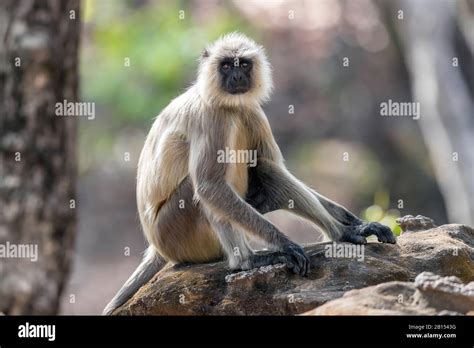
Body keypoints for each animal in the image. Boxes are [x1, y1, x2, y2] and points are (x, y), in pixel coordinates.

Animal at [103, 32, 396, 316]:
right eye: (225, 66)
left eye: (243, 64)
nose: (236, 77)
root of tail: (156, 246)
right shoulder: (212, 115)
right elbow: (210, 187)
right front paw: (286, 245)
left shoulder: (252, 109)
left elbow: (269, 160)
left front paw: (358, 223)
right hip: (174, 231)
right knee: (206, 189)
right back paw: (249, 260)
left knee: (265, 166)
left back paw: (340, 232)